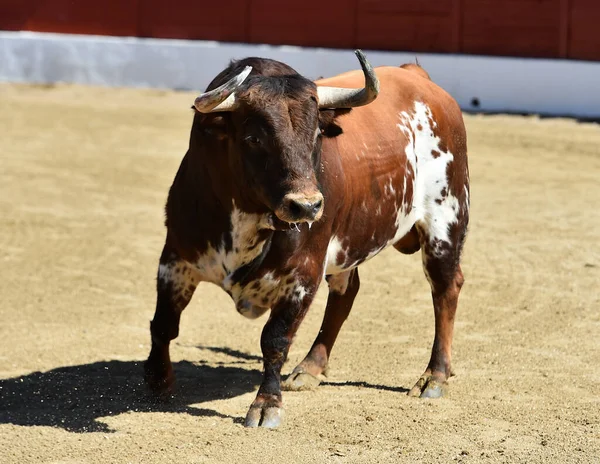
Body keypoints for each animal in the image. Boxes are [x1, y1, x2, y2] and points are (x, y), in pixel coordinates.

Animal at [144, 50, 468, 428]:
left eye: (316, 134)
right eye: (254, 138)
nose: (307, 205)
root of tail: (416, 77)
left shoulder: (303, 274)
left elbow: (275, 339)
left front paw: (266, 404)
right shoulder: (175, 259)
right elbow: (164, 324)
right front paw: (158, 380)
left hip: (445, 220)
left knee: (445, 288)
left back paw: (435, 375)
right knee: (346, 293)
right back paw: (311, 367)